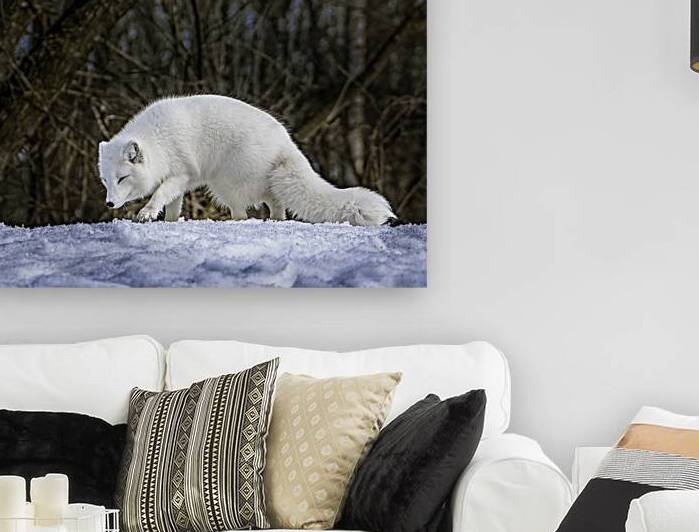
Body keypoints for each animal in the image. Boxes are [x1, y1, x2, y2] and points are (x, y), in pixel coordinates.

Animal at [97, 95, 395, 226]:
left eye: (122, 178)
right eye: (106, 181)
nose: (109, 203)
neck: (159, 141)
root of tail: (285, 141)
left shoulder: (181, 173)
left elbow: (159, 193)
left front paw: (147, 212)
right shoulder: (179, 182)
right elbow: (172, 204)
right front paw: (170, 222)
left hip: (225, 184)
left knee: (247, 211)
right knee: (275, 202)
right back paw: (276, 221)